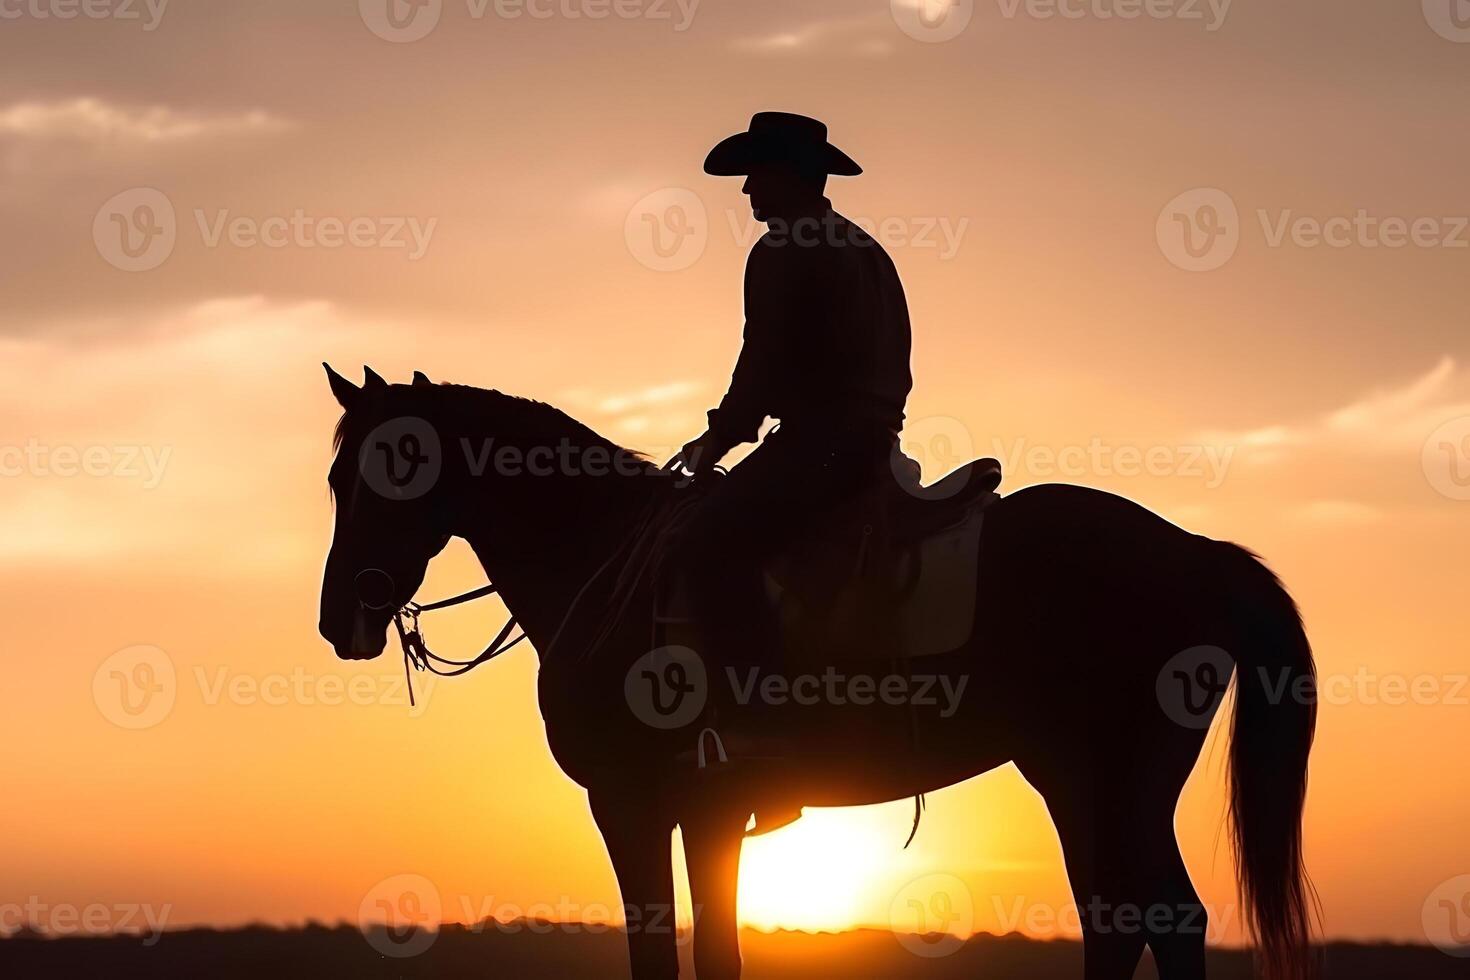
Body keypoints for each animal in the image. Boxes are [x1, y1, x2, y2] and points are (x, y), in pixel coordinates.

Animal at [316, 365, 1317, 980]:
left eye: (394, 465)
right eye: (334, 478)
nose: (340, 619)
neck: (602, 561)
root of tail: (1196, 553)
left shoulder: (646, 804)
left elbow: (688, 953)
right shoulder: (688, 812)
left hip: (1112, 780)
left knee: (1164, 920)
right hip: (1077, 782)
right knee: (1123, 923)